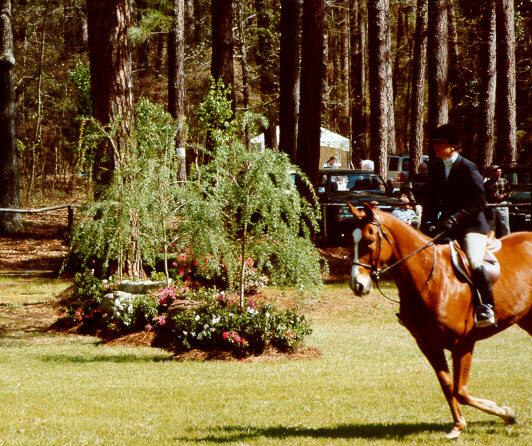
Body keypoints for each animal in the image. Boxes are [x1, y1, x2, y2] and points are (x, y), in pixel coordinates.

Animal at [350, 204, 532, 440]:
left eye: (369, 240)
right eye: (351, 240)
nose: (357, 285)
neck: (431, 277)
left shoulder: (463, 344)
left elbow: (460, 391)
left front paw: (507, 413)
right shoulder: (428, 344)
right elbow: (447, 385)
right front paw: (458, 426)